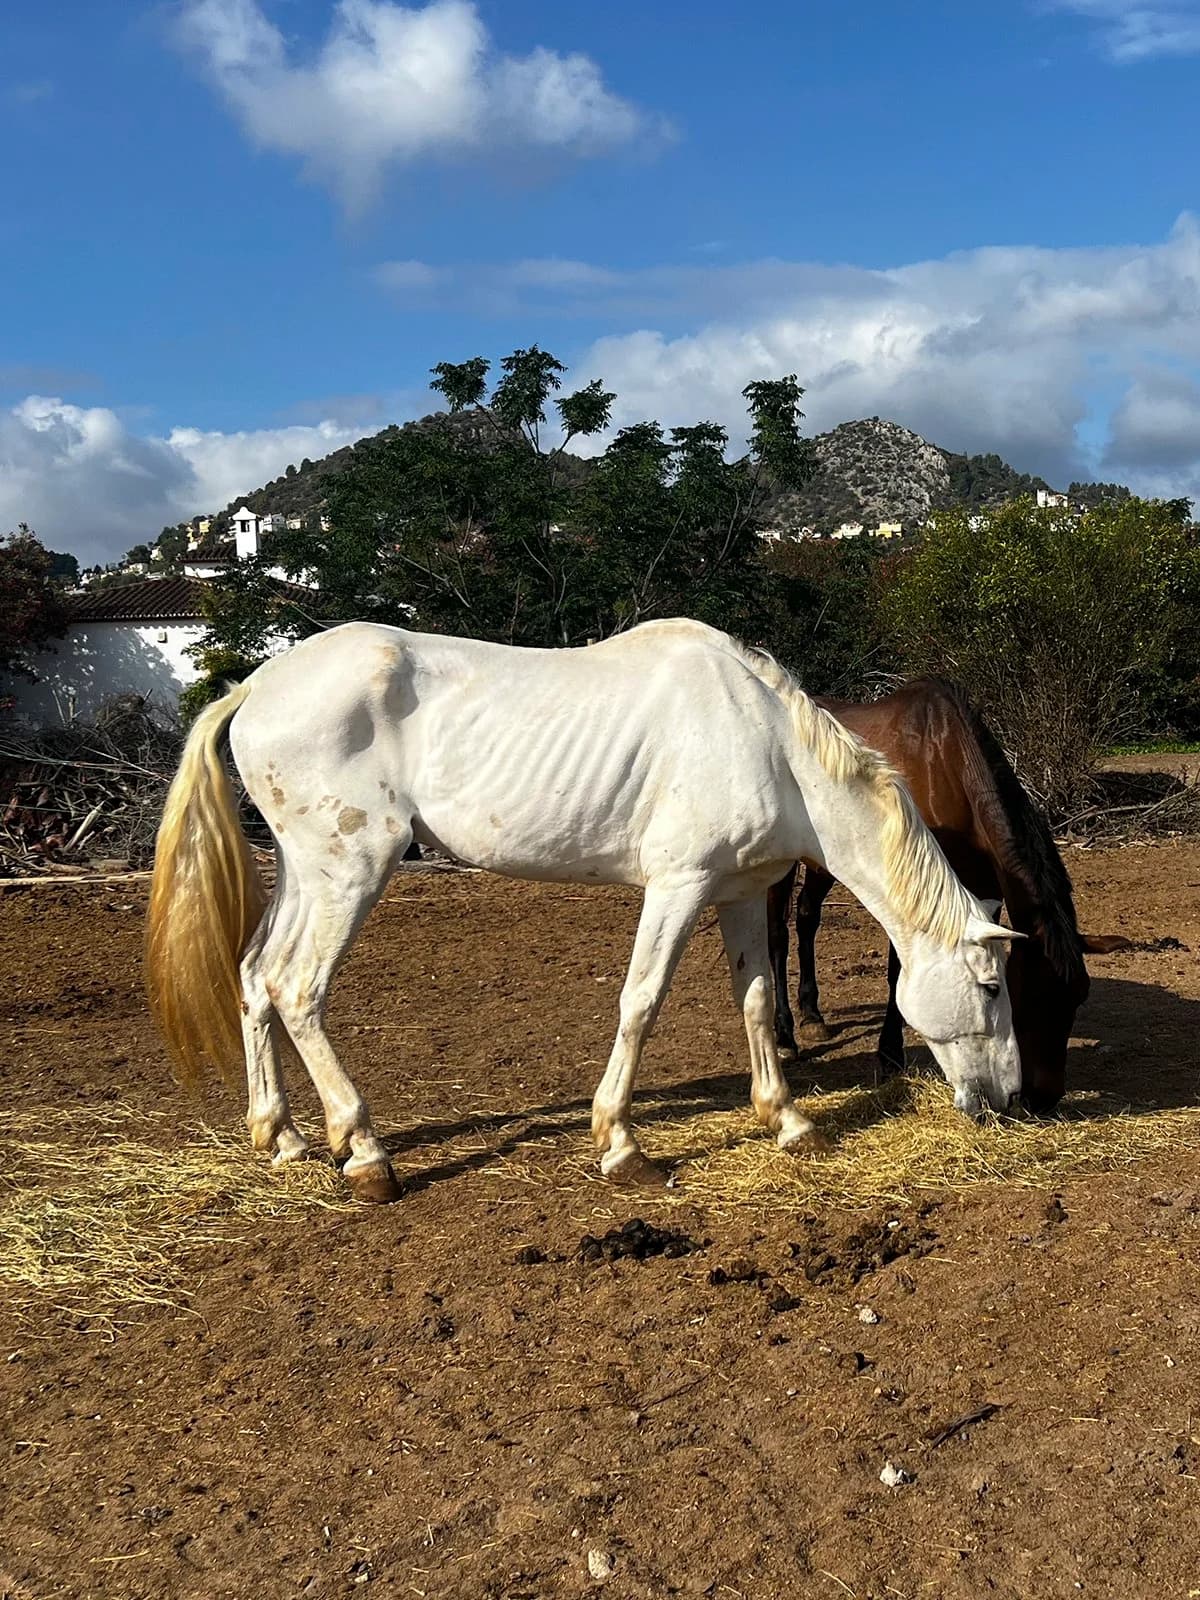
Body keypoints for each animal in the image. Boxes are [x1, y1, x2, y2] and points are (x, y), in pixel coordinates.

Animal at [146, 619, 1022, 1204]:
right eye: (990, 987)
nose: (1010, 1101)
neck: (765, 743)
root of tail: (255, 687)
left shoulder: (739, 893)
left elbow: (755, 999)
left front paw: (789, 1122)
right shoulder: (678, 887)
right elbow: (640, 1003)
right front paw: (622, 1146)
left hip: (305, 873)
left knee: (255, 978)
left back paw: (283, 1137)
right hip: (349, 871)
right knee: (299, 991)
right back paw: (364, 1154)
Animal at [767, 677, 1126, 1112]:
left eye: (1077, 998)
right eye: (1027, 995)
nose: (1043, 1098)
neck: (945, 766)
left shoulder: (981, 897)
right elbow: (896, 973)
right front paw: (889, 1058)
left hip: (824, 863)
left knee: (807, 918)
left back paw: (812, 1014)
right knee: (778, 935)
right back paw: (786, 1034)